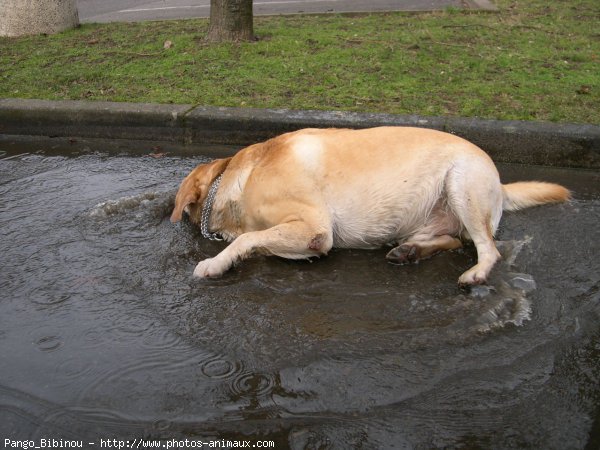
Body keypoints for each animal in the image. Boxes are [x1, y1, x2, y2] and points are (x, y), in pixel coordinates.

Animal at [170, 125, 572, 284]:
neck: (239, 178)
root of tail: (500, 184)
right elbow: (257, 240)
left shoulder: (317, 230)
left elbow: (247, 238)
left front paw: (215, 263)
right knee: (453, 239)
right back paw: (410, 251)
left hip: (463, 184)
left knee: (487, 248)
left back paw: (475, 274)